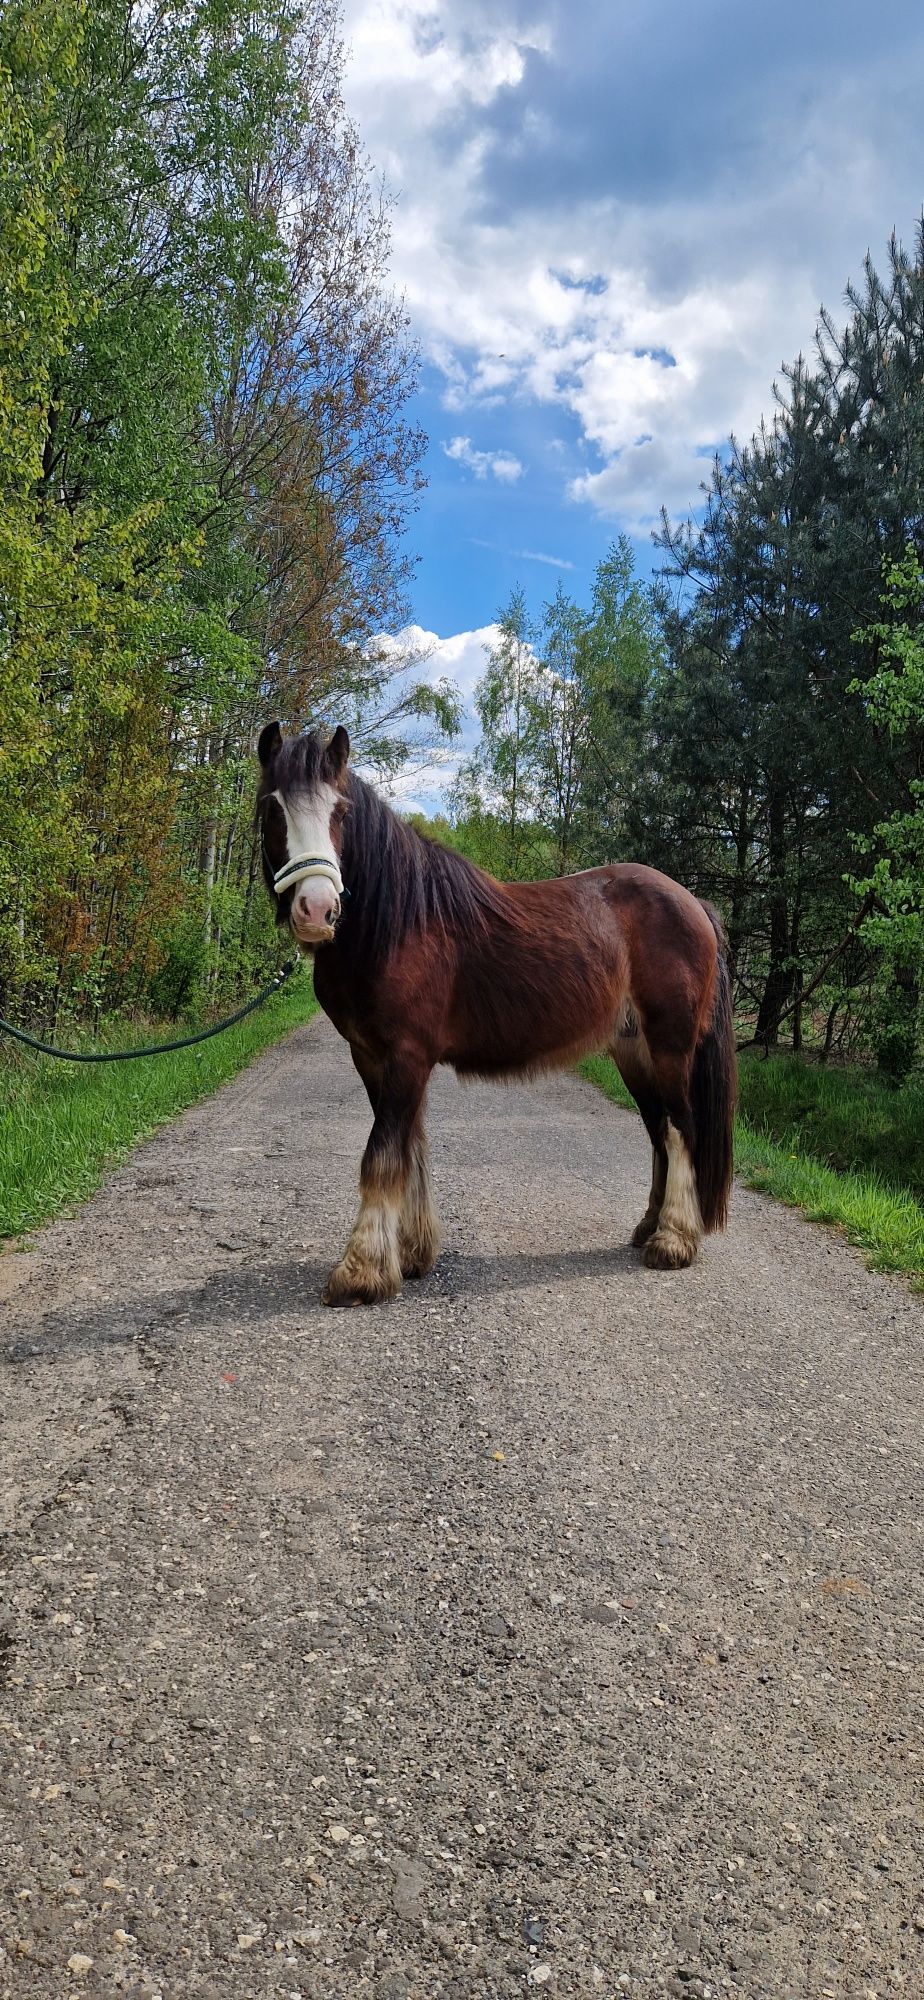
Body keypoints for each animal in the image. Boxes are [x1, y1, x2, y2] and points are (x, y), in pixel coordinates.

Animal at [258, 728, 736, 1304]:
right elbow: (409, 1150)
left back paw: (674, 1242)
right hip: (633, 1052)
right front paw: (412, 1255)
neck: (397, 922)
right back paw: (649, 1228)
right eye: (273, 808)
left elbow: (382, 1154)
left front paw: (361, 1271)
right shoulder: (371, 1058)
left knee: (682, 1128)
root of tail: (695, 905)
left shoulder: (406, 1057)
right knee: (659, 1131)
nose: (316, 908)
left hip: (670, 1047)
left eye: (342, 811)